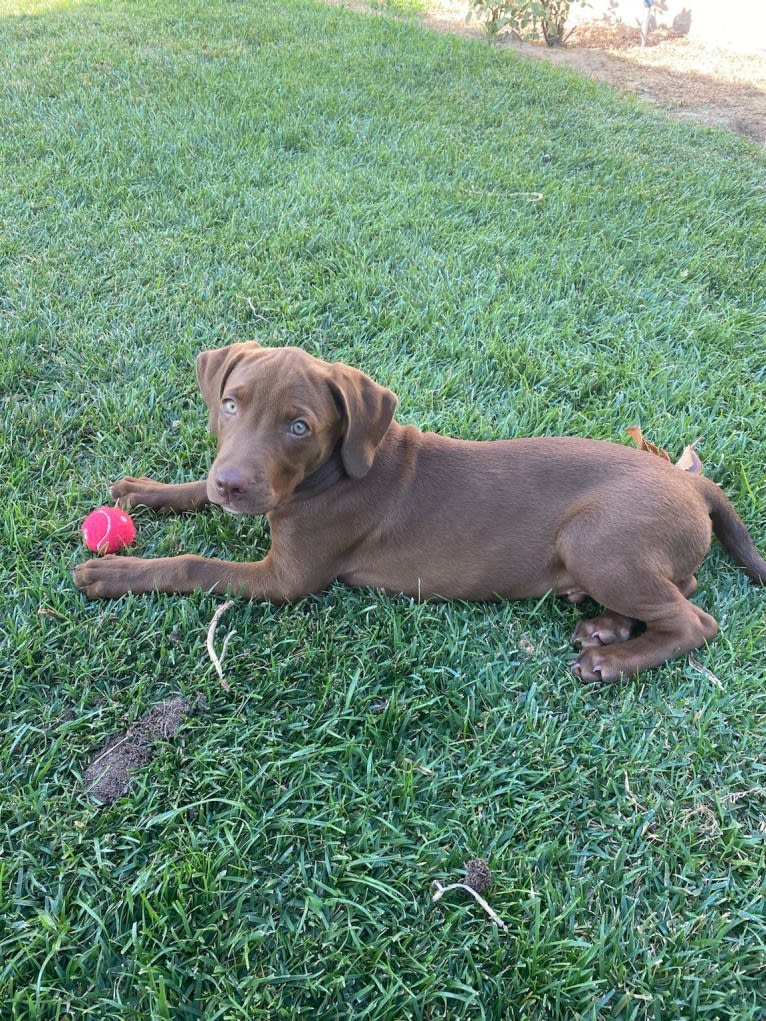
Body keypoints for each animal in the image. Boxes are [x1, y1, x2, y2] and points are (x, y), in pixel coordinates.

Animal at [73, 338, 766, 682]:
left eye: (299, 426)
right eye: (231, 404)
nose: (234, 486)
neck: (333, 473)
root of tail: (692, 485)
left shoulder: (288, 578)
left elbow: (191, 563)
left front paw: (113, 573)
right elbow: (193, 490)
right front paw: (146, 491)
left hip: (597, 540)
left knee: (696, 619)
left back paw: (611, 658)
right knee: (682, 585)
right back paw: (609, 626)